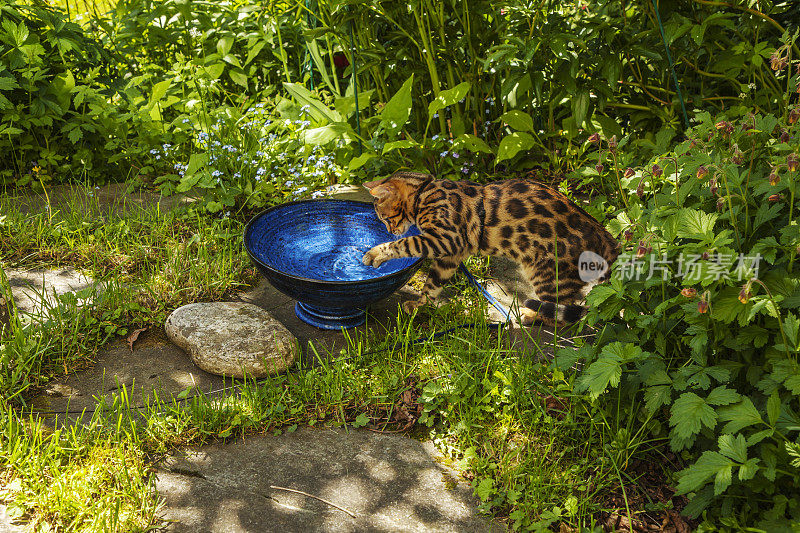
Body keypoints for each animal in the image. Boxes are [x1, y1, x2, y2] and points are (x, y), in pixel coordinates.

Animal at [362, 170, 620, 324]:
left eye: (384, 218)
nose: (391, 230)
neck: (424, 193)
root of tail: (606, 238)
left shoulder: (446, 238)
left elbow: (406, 243)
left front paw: (376, 253)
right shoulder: (451, 255)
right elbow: (432, 284)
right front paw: (420, 306)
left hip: (548, 272)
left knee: (563, 312)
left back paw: (530, 314)